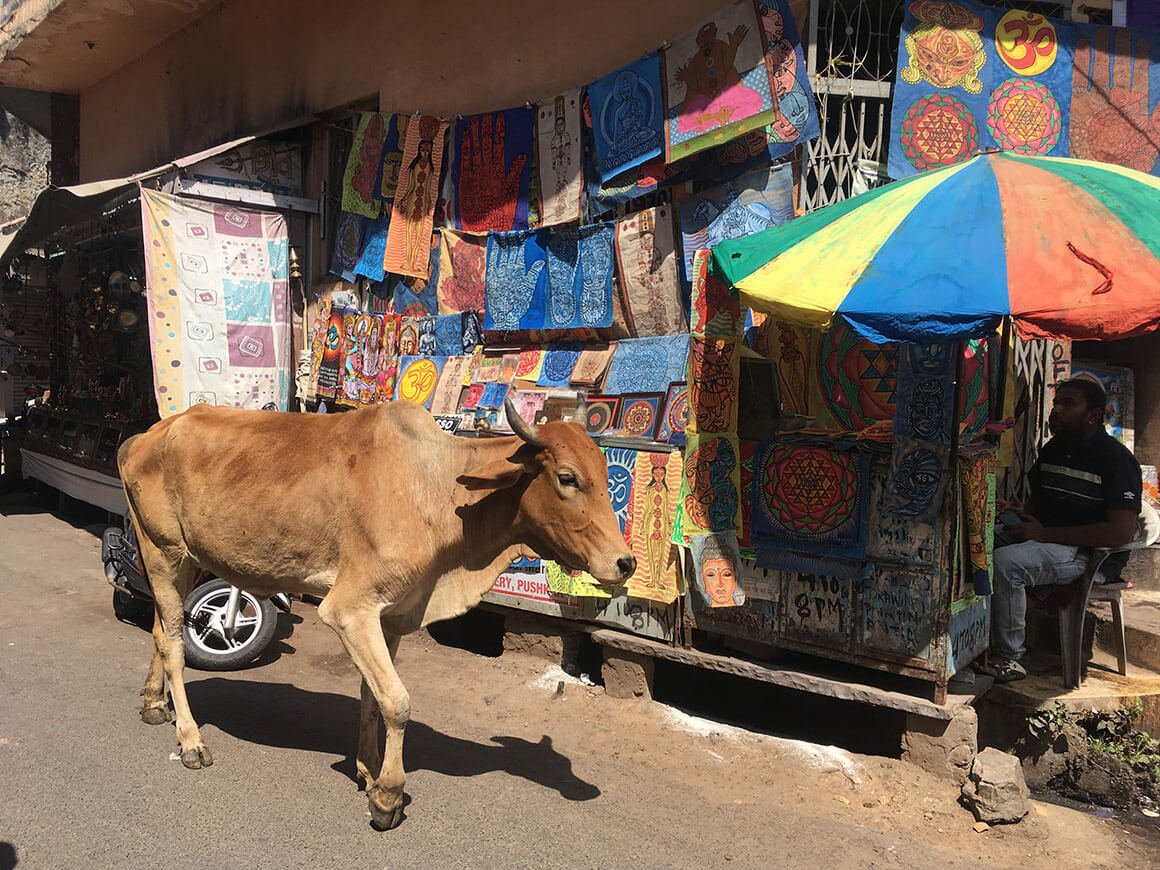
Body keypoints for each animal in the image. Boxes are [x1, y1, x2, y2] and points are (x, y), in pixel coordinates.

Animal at [117, 396, 635, 830]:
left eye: (605, 472)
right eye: (566, 477)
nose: (625, 562)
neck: (438, 490)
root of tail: (146, 435)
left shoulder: (392, 617)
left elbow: (372, 697)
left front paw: (367, 770)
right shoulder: (350, 608)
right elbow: (398, 702)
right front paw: (388, 796)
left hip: (187, 559)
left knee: (161, 630)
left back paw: (154, 704)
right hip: (163, 552)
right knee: (172, 640)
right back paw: (190, 741)